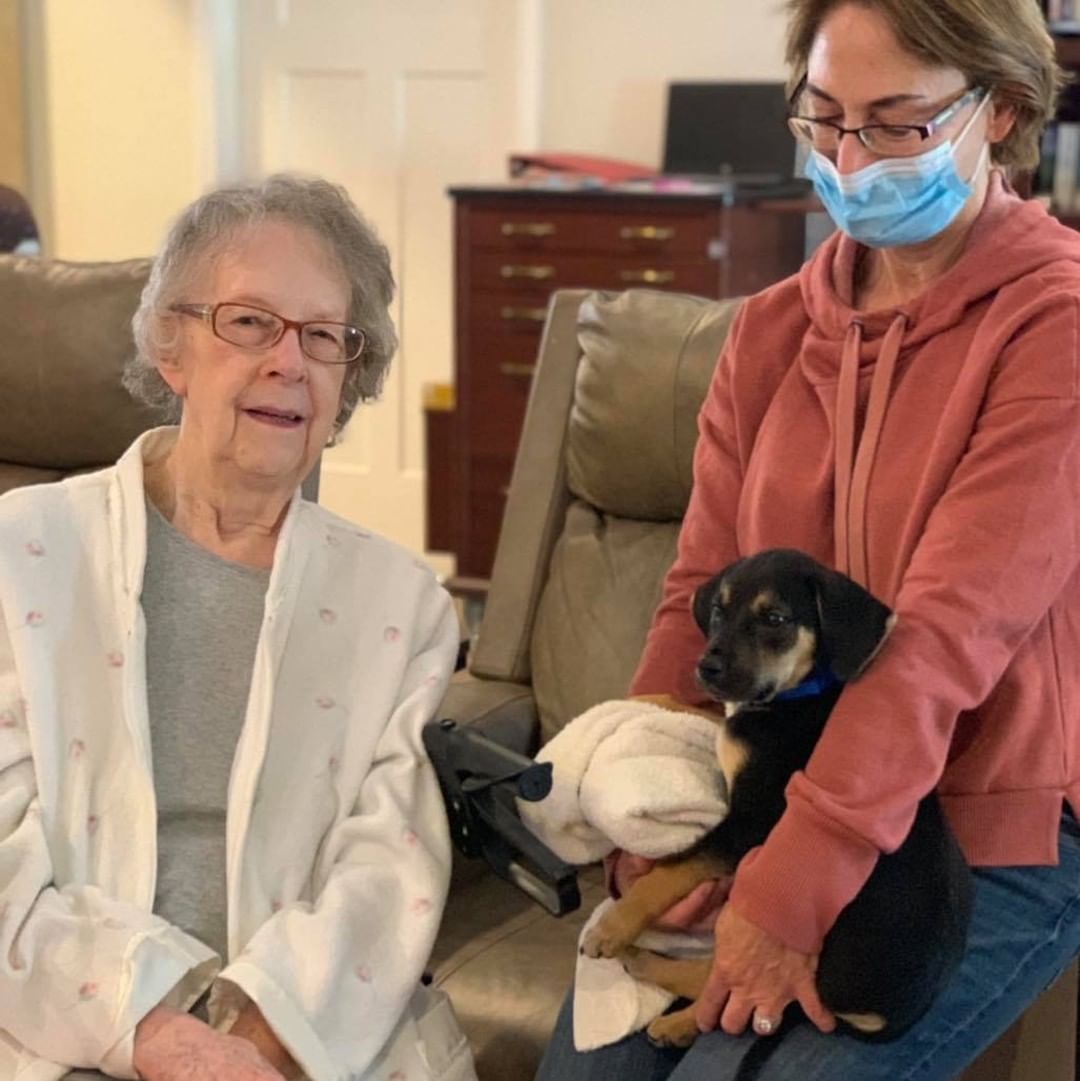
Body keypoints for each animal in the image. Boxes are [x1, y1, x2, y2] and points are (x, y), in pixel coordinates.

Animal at [588, 549, 977, 1063]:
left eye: (774, 619)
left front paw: (613, 927)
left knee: (738, 990)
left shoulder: (751, 823)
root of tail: (894, 1017)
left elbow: (673, 869)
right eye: (718, 612)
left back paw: (658, 989)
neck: (798, 694)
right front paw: (645, 697)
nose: (706, 668)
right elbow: (706, 711)